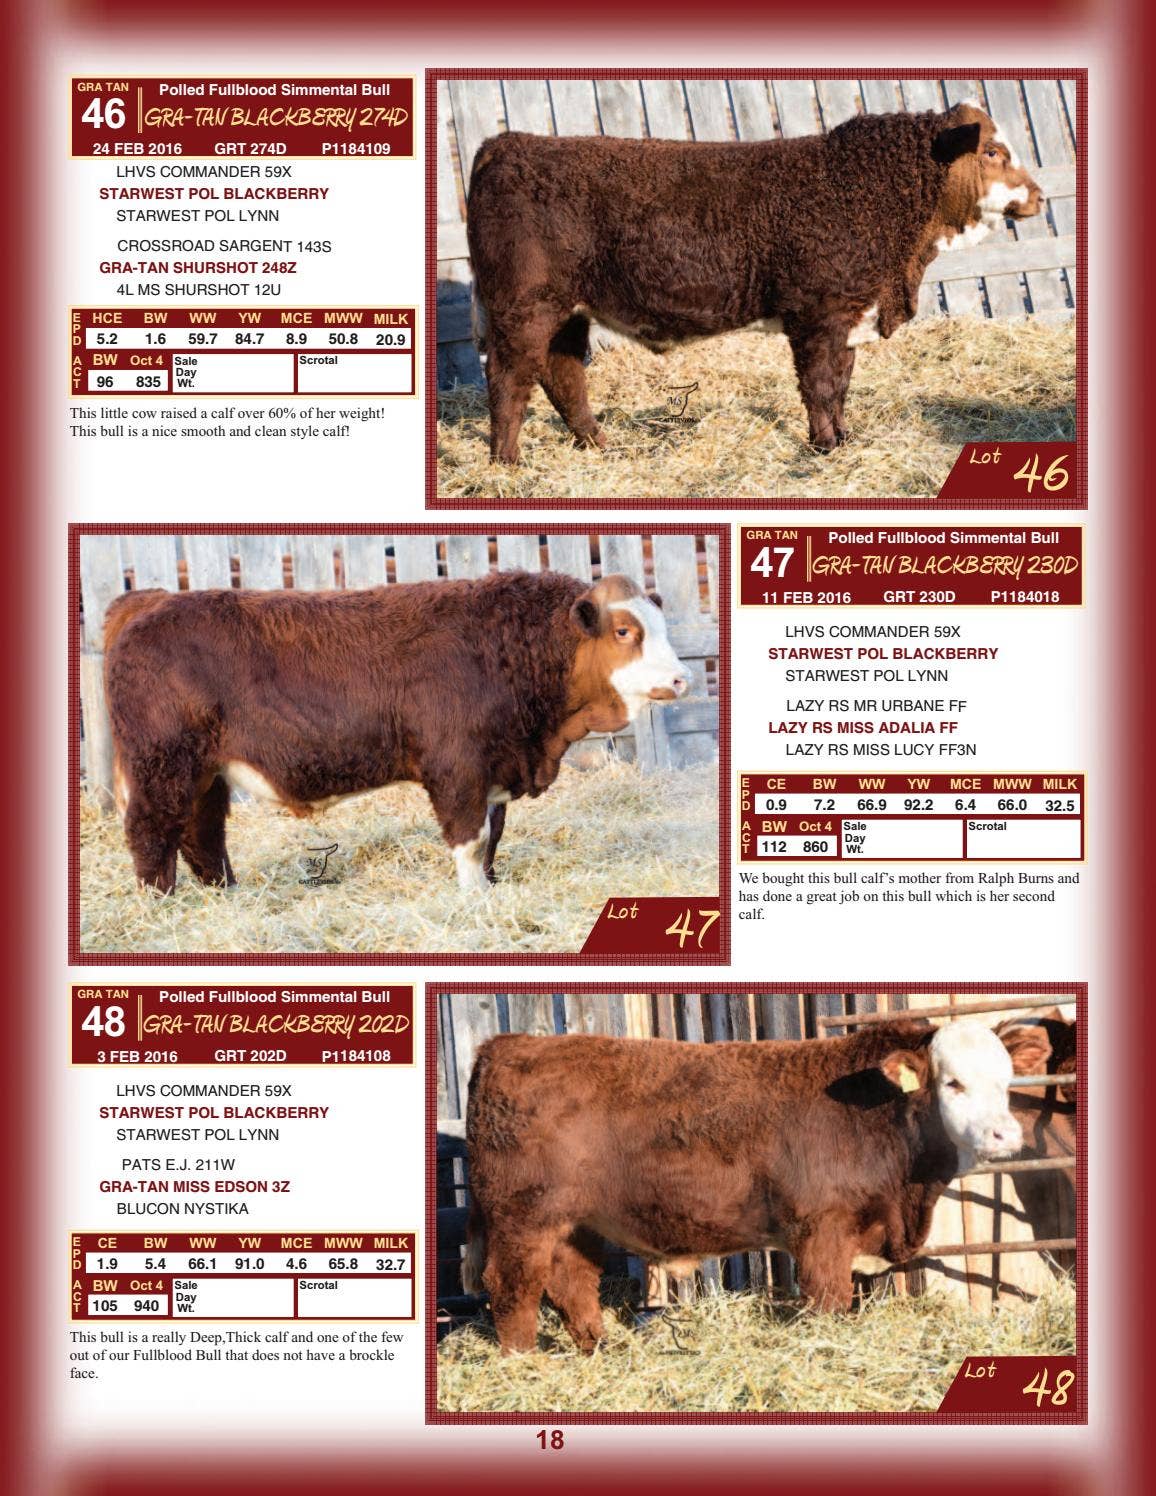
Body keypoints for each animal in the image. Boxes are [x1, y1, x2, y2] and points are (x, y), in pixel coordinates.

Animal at [101, 570, 688, 895]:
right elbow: (471, 839)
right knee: (151, 832)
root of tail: (151, 600)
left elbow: (494, 837)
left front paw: (490, 889)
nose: (683, 677)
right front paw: (473, 898)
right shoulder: (458, 769)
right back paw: (160, 904)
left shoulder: (495, 771)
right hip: (163, 766)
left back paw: (226, 896)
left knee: (201, 835)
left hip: (204, 774)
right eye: (624, 631)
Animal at [462, 1020, 1022, 1352]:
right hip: (522, 1216)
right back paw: (525, 1361)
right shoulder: (821, 1230)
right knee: (511, 1285)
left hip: (574, 1222)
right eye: (953, 1083)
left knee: (571, 1281)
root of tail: (505, 1045)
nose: (1007, 1134)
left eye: (1006, 1082)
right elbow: (828, 1299)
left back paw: (601, 1349)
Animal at [466, 103, 1043, 462]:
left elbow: (842, 385)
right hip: (524, 307)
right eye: (993, 151)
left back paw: (598, 446)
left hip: (567, 311)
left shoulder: (849, 314)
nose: (1039, 196)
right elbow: (820, 386)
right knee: (509, 379)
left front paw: (843, 438)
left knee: (561, 374)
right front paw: (825, 446)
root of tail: (507, 143)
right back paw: (507, 463)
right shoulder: (818, 315)